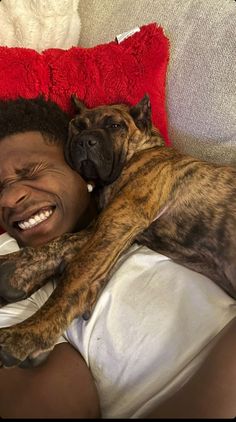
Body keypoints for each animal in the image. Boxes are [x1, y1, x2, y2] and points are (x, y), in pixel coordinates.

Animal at [0, 95, 235, 366]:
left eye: (115, 126)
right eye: (77, 126)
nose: (84, 140)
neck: (139, 151)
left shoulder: (120, 217)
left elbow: (75, 273)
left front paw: (27, 334)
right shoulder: (110, 222)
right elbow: (62, 241)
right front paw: (15, 267)